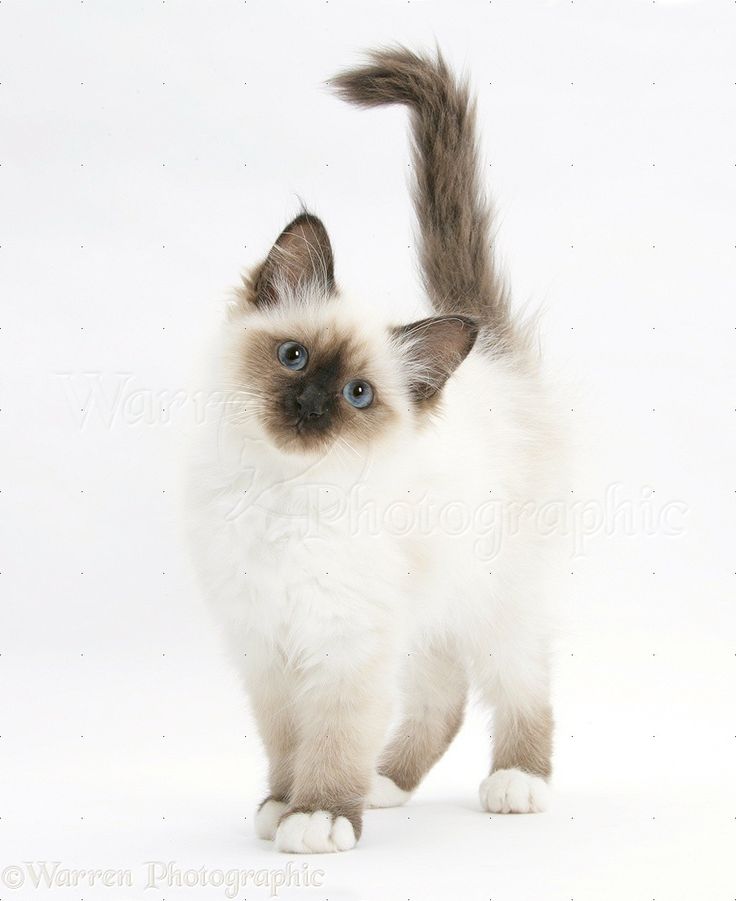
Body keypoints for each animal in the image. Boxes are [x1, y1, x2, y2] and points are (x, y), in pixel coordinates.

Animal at [187, 47, 568, 852]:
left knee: (522, 684)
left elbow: (332, 741)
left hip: (496, 602)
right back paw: (387, 783)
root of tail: (496, 355)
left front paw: (321, 815)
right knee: (444, 697)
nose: (311, 406)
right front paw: (281, 805)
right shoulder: (266, 649)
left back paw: (518, 783)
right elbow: (287, 743)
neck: (283, 494)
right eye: (294, 357)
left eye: (359, 394)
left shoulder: (346, 646)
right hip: (425, 622)